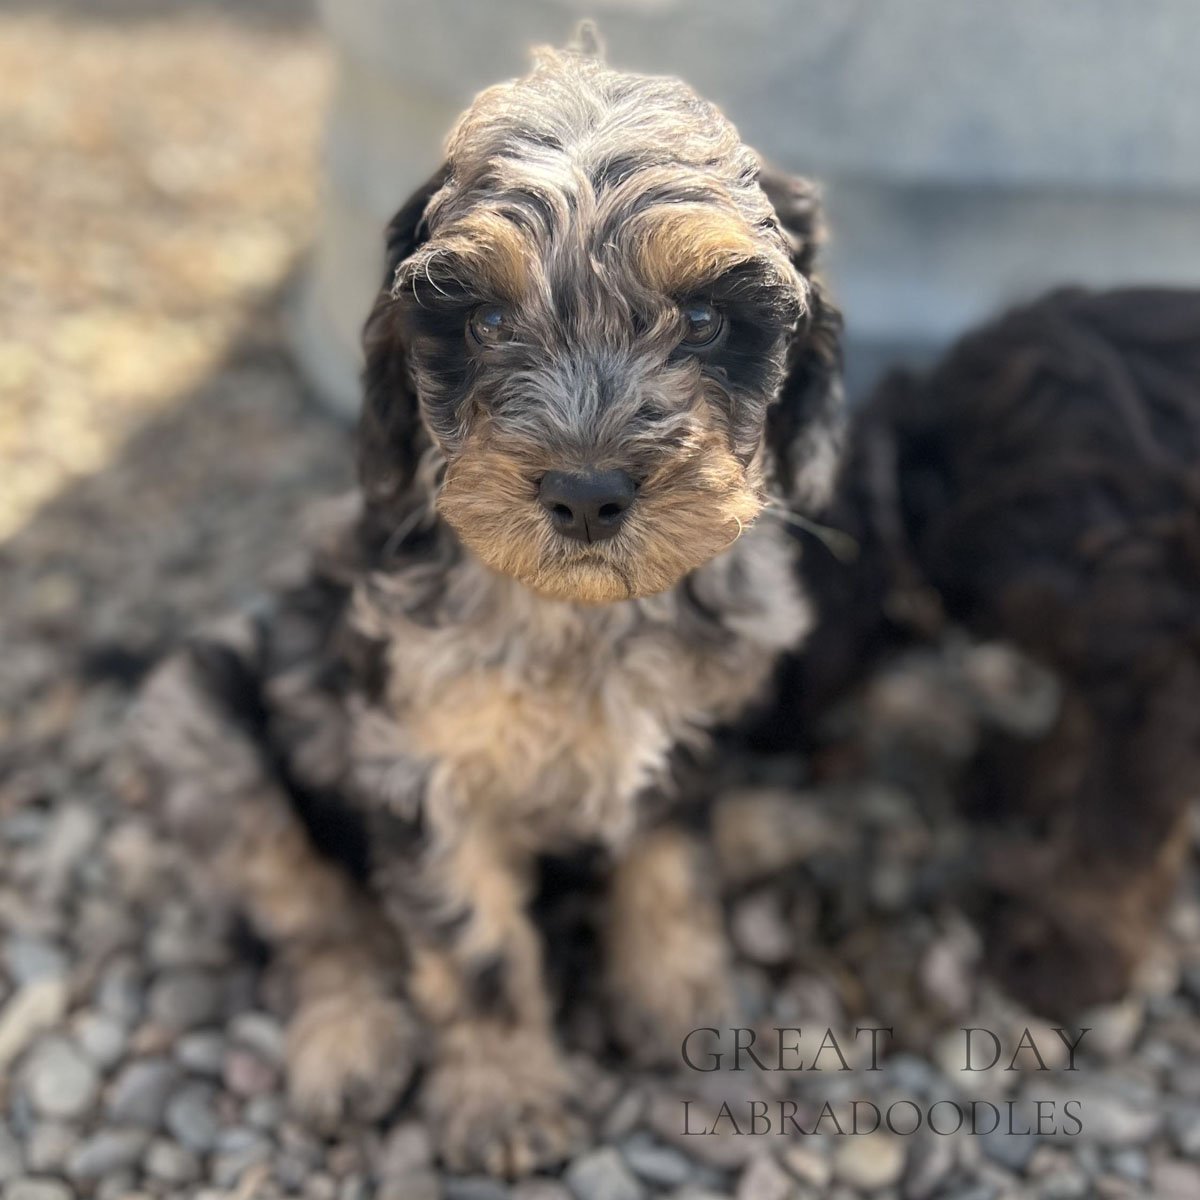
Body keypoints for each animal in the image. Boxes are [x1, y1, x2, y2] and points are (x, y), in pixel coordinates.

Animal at [129, 32, 844, 1176]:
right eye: (486, 318)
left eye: (703, 319)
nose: (588, 493)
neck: (578, 620)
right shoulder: (419, 769)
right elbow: (477, 953)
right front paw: (506, 1099)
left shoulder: (684, 733)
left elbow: (670, 874)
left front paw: (689, 1015)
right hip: (196, 728)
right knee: (313, 919)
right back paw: (348, 1042)